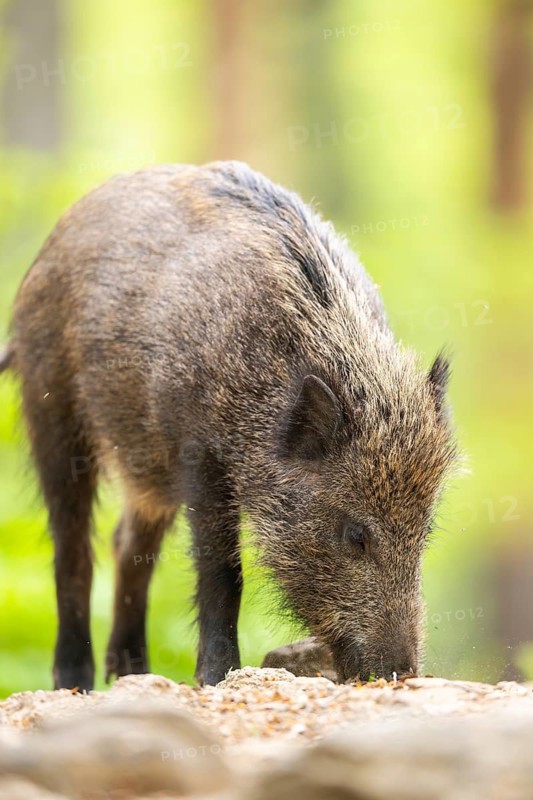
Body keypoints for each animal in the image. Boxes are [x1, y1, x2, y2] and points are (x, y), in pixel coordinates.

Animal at [0, 161, 456, 690]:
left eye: (425, 533)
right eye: (355, 535)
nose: (402, 672)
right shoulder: (199, 452)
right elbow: (222, 570)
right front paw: (217, 676)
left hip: (147, 463)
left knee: (129, 542)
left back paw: (133, 671)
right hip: (51, 406)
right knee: (73, 546)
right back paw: (75, 680)